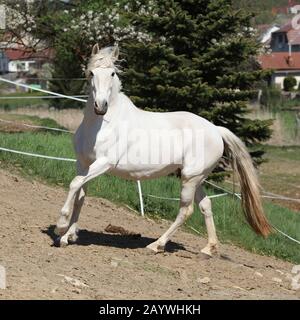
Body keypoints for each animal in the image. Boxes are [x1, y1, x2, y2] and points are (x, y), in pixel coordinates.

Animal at [54, 43, 272, 256]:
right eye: (91, 72)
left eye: (113, 73)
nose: (101, 106)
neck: (101, 125)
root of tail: (216, 130)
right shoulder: (83, 163)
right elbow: (80, 195)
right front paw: (68, 237)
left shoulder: (104, 163)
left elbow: (74, 184)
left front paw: (61, 227)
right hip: (196, 178)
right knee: (206, 205)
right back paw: (208, 249)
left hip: (190, 178)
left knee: (186, 210)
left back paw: (156, 245)